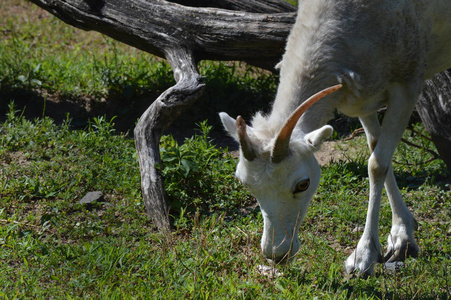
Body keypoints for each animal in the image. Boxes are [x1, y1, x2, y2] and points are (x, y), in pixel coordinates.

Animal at [220, 0, 451, 276]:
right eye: (244, 183)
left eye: (303, 184)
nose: (276, 254)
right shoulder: (363, 100)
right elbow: (376, 149)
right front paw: (402, 236)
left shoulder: (407, 85)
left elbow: (376, 165)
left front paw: (363, 257)